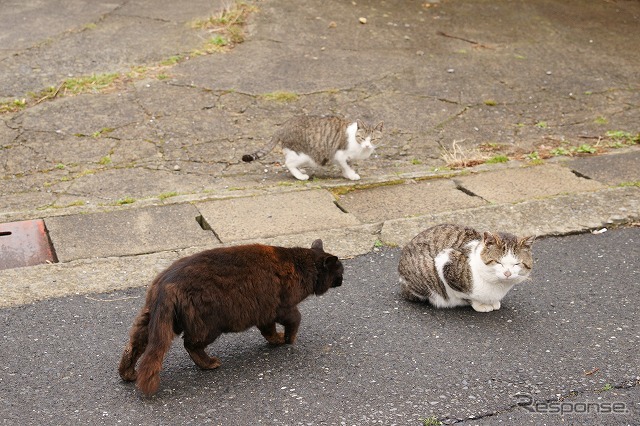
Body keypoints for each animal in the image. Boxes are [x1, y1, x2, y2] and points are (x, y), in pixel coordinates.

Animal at [117, 240, 342, 396]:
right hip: (208, 326)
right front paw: (288, 339)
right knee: (190, 345)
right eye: (340, 271)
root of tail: (166, 283)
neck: (301, 265)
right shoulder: (283, 307)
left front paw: (277, 340)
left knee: (132, 347)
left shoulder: (265, 312)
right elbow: (296, 320)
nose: (343, 279)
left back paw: (127, 373)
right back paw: (209, 364)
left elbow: (269, 331)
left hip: (148, 322)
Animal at [239, 115, 380, 180]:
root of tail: (283, 126)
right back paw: (301, 176)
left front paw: (346, 174)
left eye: (373, 139)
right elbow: (347, 165)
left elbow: (344, 166)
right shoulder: (341, 155)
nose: (368, 145)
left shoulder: (338, 158)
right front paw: (352, 175)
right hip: (303, 155)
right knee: (288, 163)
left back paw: (300, 171)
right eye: (362, 138)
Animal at [400, 223, 536, 312]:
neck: (498, 286)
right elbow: (466, 296)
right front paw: (481, 304)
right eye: (498, 262)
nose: (507, 273)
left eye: (517, 264)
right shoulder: (445, 262)